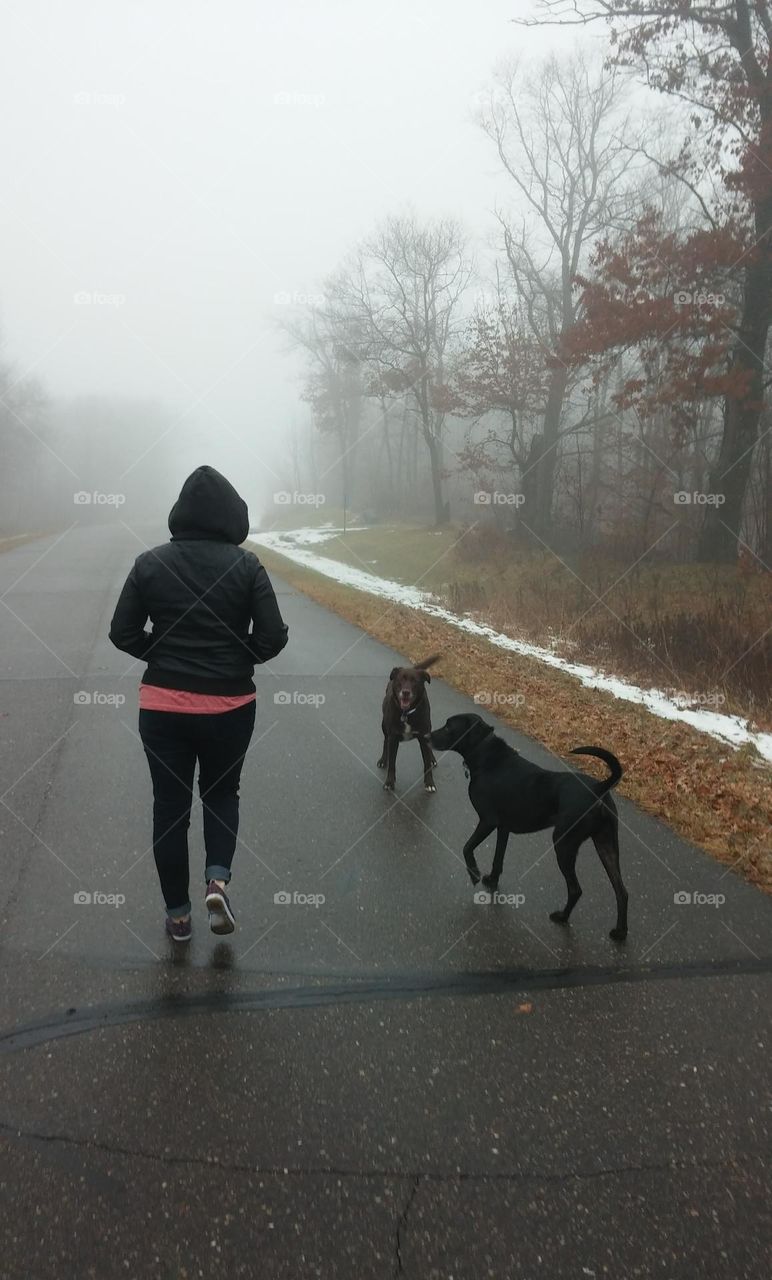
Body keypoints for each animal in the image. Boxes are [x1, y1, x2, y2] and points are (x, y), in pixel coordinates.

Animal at [378, 660, 440, 788]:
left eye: (415, 681)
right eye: (400, 679)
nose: (406, 692)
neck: (406, 713)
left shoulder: (423, 737)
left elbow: (427, 763)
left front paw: (430, 783)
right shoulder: (393, 738)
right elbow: (392, 763)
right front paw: (389, 782)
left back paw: (432, 759)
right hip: (384, 726)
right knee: (385, 742)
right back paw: (383, 760)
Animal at [430, 711, 627, 942]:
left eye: (448, 726)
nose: (427, 735)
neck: (485, 755)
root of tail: (599, 788)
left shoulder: (488, 821)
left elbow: (467, 847)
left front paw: (475, 874)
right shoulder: (503, 828)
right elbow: (498, 858)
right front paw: (492, 881)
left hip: (564, 843)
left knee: (576, 889)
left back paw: (562, 917)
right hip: (606, 843)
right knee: (621, 891)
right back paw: (620, 932)